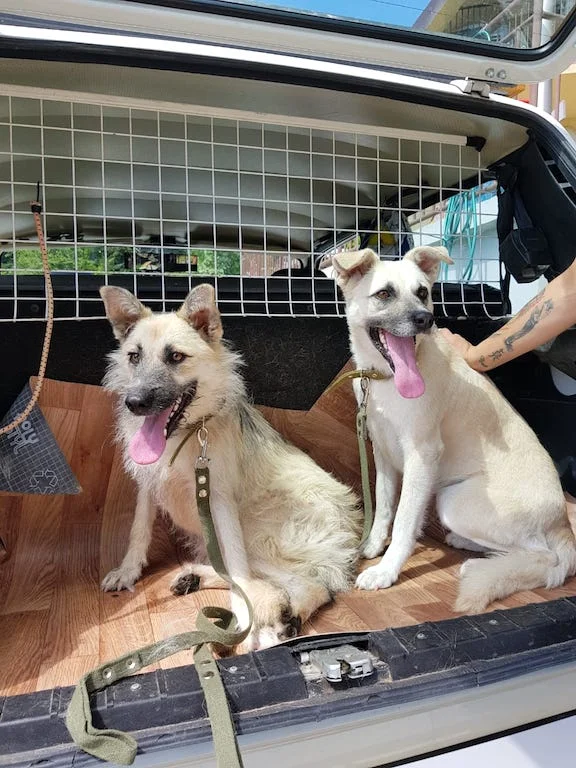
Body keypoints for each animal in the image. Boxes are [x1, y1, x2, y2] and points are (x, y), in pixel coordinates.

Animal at [99, 283, 362, 650]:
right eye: (133, 356)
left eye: (176, 357)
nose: (134, 403)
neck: (187, 434)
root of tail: (349, 526)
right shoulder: (149, 486)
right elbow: (139, 530)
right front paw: (128, 571)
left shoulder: (221, 503)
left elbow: (238, 569)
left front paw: (247, 629)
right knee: (255, 578)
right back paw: (198, 579)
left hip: (258, 534)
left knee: (308, 583)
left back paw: (286, 618)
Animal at [333, 245, 576, 612]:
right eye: (384, 294)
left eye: (422, 293)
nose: (425, 320)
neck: (384, 378)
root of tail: (562, 522)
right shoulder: (382, 451)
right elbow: (385, 506)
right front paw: (373, 547)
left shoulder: (421, 455)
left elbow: (404, 520)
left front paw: (386, 571)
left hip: (453, 501)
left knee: (544, 557)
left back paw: (481, 565)